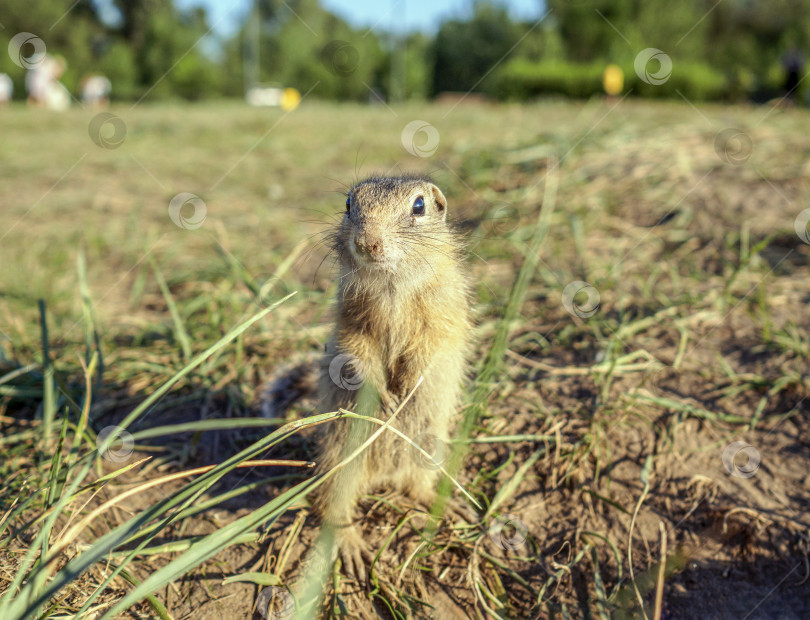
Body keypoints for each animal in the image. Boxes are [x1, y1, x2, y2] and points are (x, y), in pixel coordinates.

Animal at [310, 173, 474, 576]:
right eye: (349, 204)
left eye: (419, 206)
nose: (367, 241)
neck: (392, 282)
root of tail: (383, 476)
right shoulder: (351, 321)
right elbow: (356, 352)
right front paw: (384, 395)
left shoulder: (443, 313)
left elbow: (431, 346)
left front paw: (409, 387)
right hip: (340, 460)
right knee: (334, 508)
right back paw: (352, 547)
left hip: (431, 448)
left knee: (414, 486)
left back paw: (445, 504)